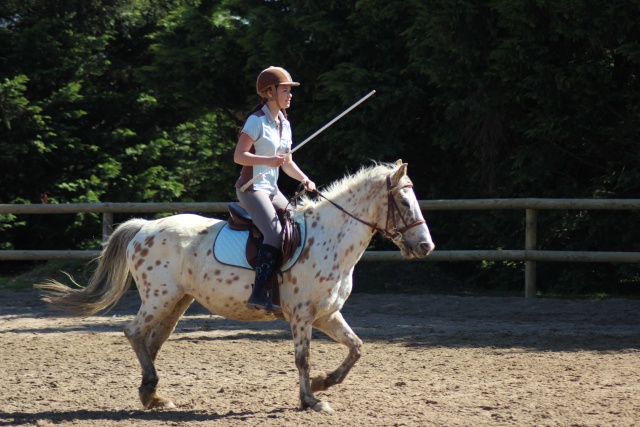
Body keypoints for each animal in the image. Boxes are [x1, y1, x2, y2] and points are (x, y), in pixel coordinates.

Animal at [38, 159, 436, 412]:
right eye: (403, 201)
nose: (425, 247)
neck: (331, 237)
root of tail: (145, 226)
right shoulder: (302, 316)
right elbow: (303, 358)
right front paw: (312, 400)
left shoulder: (327, 315)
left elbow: (356, 348)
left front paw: (324, 383)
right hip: (159, 298)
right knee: (133, 333)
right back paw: (150, 390)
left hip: (177, 302)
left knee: (153, 341)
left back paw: (152, 396)